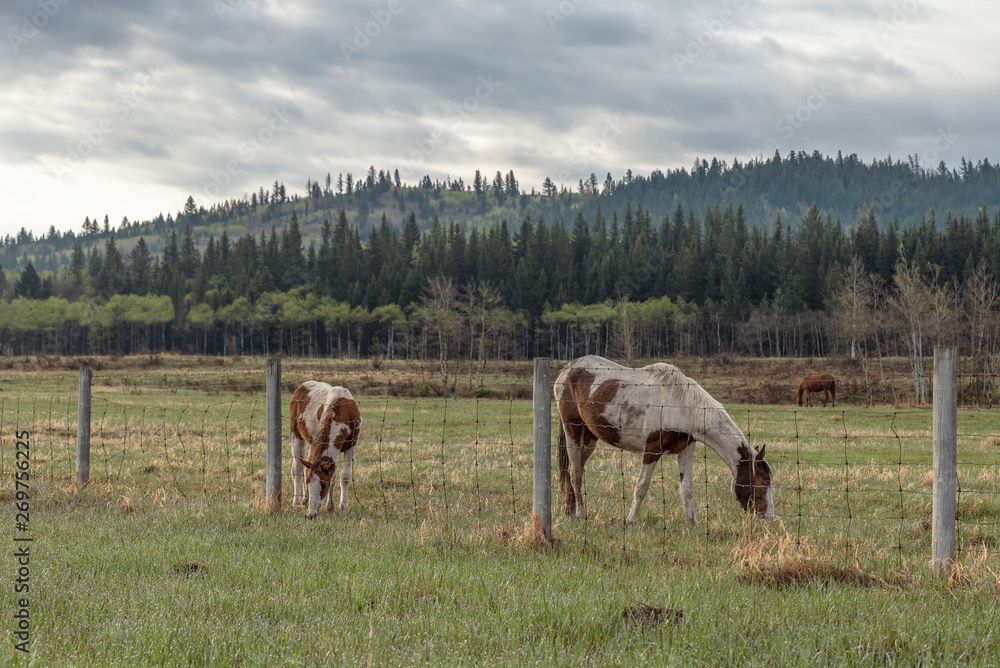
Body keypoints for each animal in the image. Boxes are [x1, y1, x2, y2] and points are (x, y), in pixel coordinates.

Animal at [289, 381, 362, 518]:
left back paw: (305, 499)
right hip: (296, 435)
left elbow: (343, 477)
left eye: (323, 485)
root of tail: (302, 385)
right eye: (308, 482)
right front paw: (332, 507)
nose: (311, 514)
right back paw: (297, 502)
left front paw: (340, 508)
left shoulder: (351, 445)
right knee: (297, 468)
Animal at [554, 355, 773, 526]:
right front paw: (631, 521)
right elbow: (642, 486)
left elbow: (687, 488)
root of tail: (566, 370)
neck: (683, 405)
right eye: (765, 481)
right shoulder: (652, 448)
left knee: (576, 469)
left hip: (589, 439)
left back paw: (570, 510)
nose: (768, 518)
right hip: (573, 431)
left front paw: (691, 523)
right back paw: (581, 513)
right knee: (575, 473)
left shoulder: (687, 449)